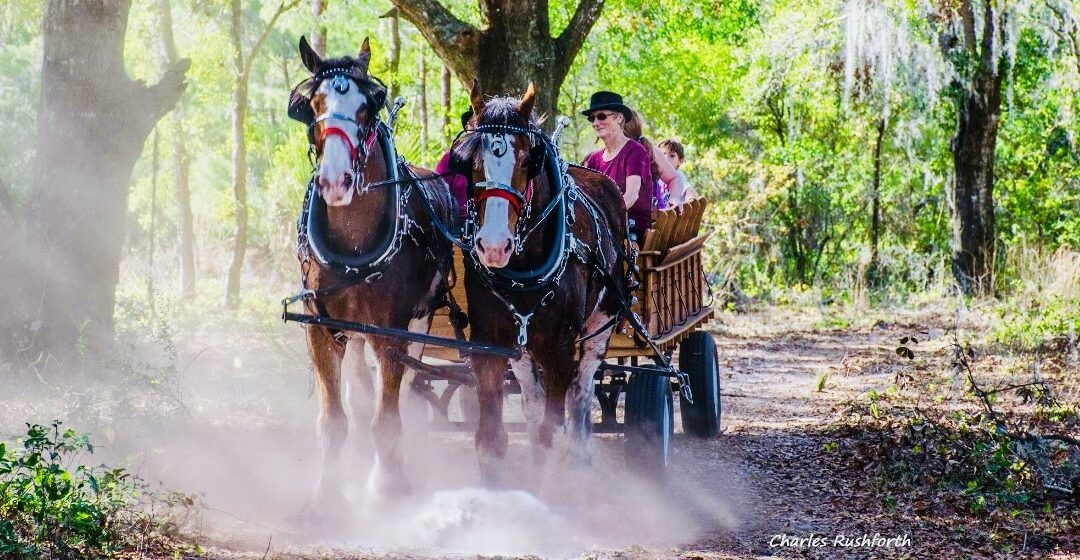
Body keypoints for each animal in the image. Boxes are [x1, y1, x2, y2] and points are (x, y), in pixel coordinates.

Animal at [287, 36, 455, 503]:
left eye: (370, 104)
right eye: (311, 104)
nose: (334, 182)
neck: (354, 244)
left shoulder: (392, 333)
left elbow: (387, 418)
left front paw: (388, 486)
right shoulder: (321, 328)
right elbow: (335, 419)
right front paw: (327, 494)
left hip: (420, 322)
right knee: (360, 391)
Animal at [450, 79, 630, 484]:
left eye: (527, 162)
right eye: (469, 161)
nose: (494, 245)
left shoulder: (559, 351)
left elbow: (552, 433)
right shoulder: (489, 346)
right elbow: (491, 439)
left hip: (603, 322)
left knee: (581, 392)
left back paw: (580, 461)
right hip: (523, 346)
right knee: (534, 402)